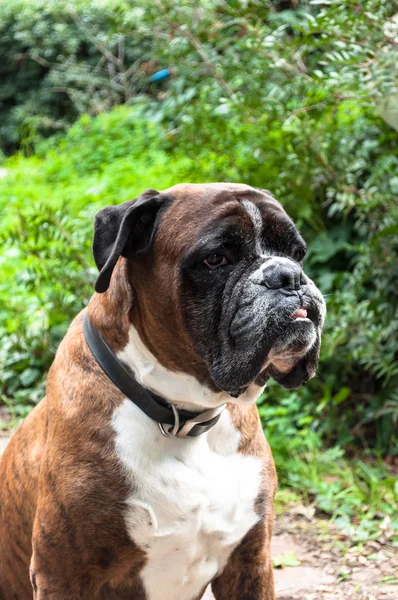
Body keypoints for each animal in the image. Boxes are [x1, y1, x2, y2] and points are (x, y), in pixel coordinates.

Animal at [0, 184, 324, 600]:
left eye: (297, 253)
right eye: (215, 259)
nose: (288, 276)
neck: (183, 416)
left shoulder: (250, 562)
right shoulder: (62, 574)